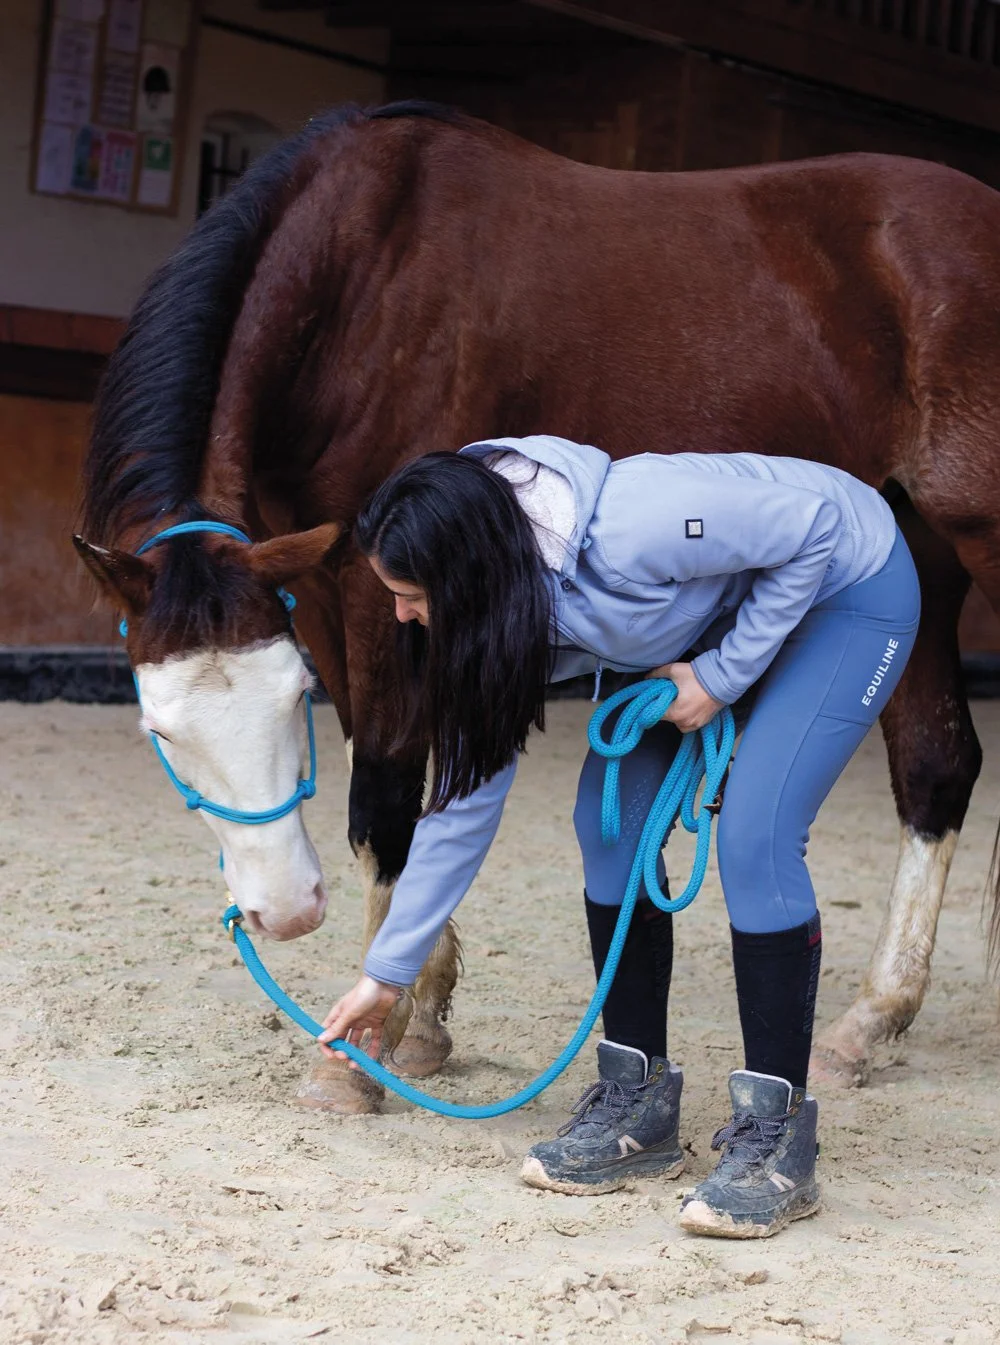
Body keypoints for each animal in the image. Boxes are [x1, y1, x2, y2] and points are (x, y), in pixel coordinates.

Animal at [76, 101, 1000, 1114]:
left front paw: (362, 1052)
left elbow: (385, 799)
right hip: (916, 562)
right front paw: (423, 1013)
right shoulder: (316, 588)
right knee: (937, 765)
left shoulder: (374, 590)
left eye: (286, 704)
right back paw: (868, 1022)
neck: (361, 279)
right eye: (162, 732)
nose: (284, 910)